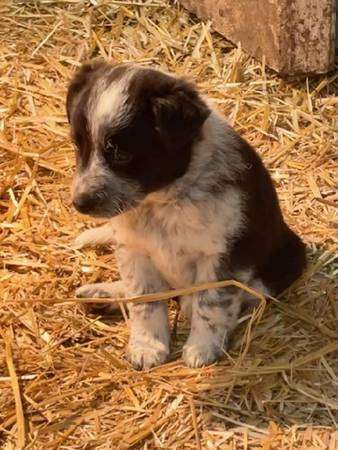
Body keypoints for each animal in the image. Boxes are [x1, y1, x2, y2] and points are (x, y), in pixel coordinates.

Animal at [66, 59, 306, 370]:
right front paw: (147, 347)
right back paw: (102, 295)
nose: (80, 203)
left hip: (281, 264)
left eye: (121, 154)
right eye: (78, 146)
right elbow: (145, 300)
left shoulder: (223, 257)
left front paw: (201, 349)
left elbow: (210, 304)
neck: (162, 202)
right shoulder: (134, 250)